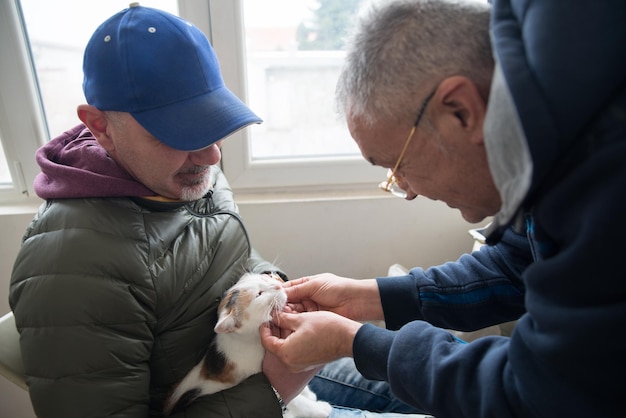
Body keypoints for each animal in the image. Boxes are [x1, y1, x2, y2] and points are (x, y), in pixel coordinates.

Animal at [165, 272, 332, 418]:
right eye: (259, 294)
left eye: (266, 277)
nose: (278, 285)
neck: (253, 340)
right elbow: (295, 400)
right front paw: (319, 409)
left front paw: (308, 393)